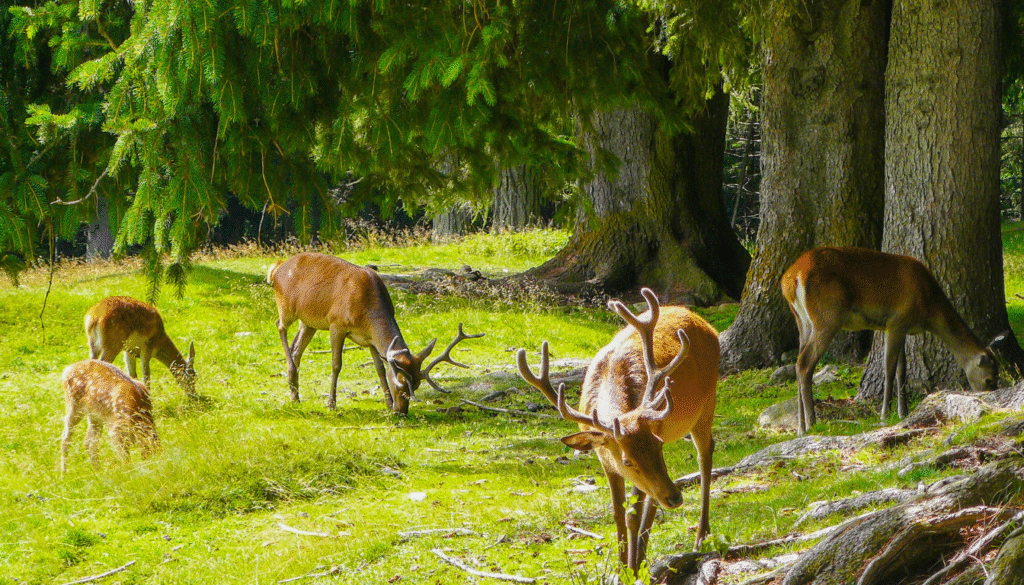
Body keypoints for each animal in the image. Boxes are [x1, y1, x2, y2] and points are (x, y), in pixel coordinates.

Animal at [267, 252, 484, 414]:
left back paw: (294, 394)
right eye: (400, 384)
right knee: (280, 326)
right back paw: (292, 373)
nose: (401, 412)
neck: (367, 309)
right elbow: (336, 365)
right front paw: (331, 404)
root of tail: (277, 267)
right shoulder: (336, 323)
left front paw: (387, 403)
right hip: (287, 307)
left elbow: (379, 367)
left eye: (416, 385)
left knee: (296, 348)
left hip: (309, 321)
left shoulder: (370, 339)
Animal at [516, 288, 719, 574]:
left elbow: (633, 513)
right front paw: (623, 567)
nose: (676, 498)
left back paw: (700, 535)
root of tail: (703, 321)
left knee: (705, 454)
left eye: (656, 444)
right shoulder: (604, 456)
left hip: (707, 401)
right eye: (627, 460)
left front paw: (632, 568)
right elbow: (618, 513)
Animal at [781, 246, 1000, 435]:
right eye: (989, 379)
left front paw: (903, 412)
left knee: (798, 362)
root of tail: (791, 278)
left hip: (802, 321)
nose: (990, 395)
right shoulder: (896, 321)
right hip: (827, 316)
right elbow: (889, 368)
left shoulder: (901, 328)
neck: (928, 307)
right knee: (805, 363)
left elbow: (902, 370)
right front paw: (885, 415)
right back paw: (811, 424)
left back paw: (800, 427)